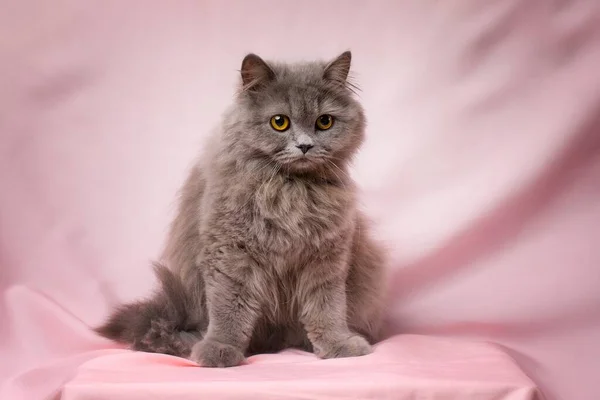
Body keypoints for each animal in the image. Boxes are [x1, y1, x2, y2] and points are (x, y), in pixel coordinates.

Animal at [94, 51, 384, 368]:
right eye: (279, 122)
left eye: (325, 122)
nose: (305, 145)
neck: (290, 189)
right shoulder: (231, 254)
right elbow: (229, 310)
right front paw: (220, 349)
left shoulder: (327, 257)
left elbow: (327, 307)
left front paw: (338, 344)